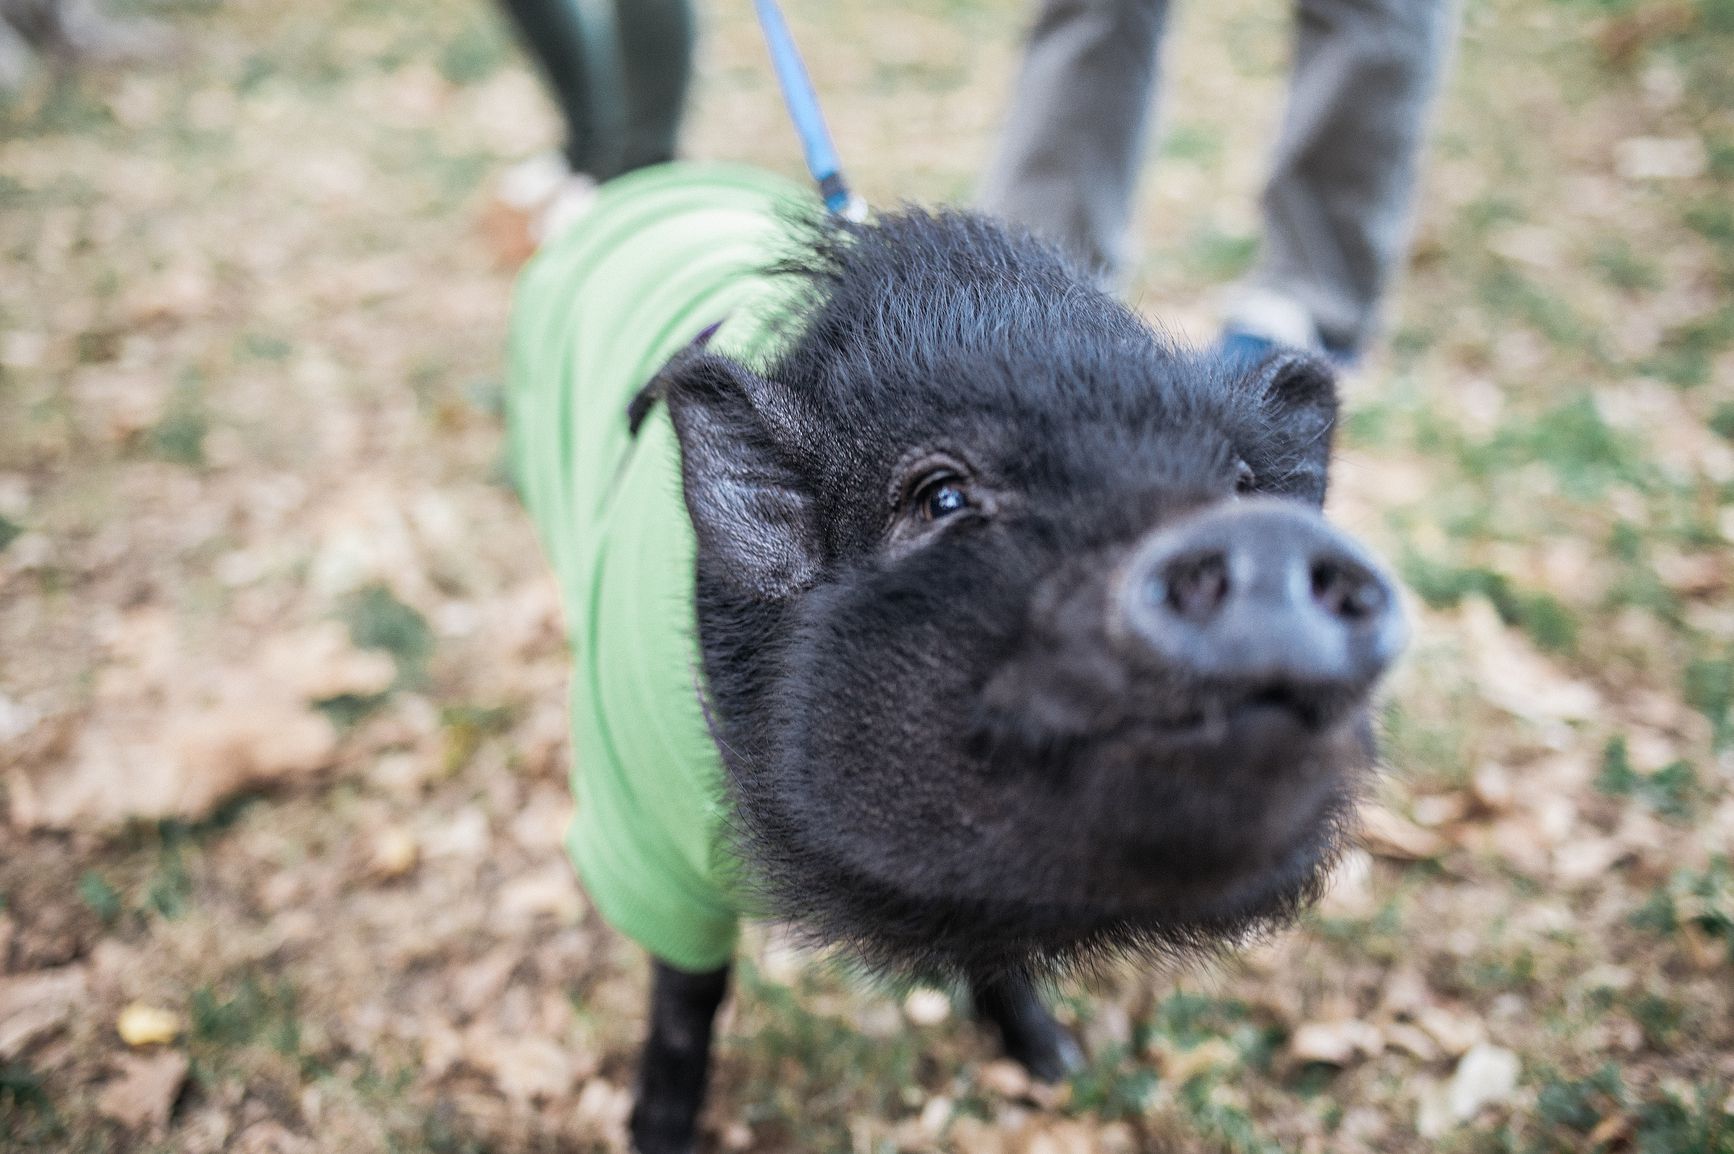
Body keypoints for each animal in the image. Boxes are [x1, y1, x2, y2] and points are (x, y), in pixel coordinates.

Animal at [506, 163, 1408, 1150]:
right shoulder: (643, 830)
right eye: (940, 498)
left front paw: (1057, 1065)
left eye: (1242, 485)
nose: (1268, 540)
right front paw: (656, 1134)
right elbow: (687, 994)